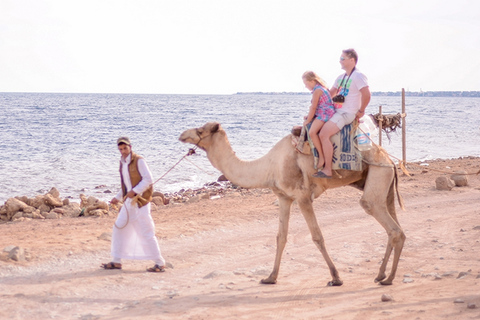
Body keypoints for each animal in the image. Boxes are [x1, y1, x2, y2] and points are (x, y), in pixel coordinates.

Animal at [179, 122, 404, 284]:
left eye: (200, 130)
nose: (182, 135)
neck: (269, 166)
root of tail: (391, 161)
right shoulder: (284, 197)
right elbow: (281, 237)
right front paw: (270, 277)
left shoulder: (302, 196)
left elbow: (317, 237)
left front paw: (336, 278)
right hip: (384, 185)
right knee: (393, 227)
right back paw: (381, 275)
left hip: (378, 175)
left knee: (388, 224)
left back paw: (389, 278)